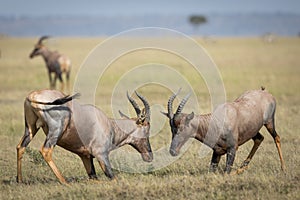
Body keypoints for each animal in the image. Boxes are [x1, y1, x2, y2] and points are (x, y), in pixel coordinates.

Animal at [16, 90, 152, 184]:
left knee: (20, 147)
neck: (108, 124)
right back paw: (65, 182)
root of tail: (32, 96)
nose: (149, 156)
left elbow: (94, 178)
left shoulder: (85, 156)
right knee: (45, 150)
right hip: (56, 131)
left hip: (31, 128)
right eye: (147, 130)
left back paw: (20, 180)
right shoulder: (101, 155)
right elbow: (113, 178)